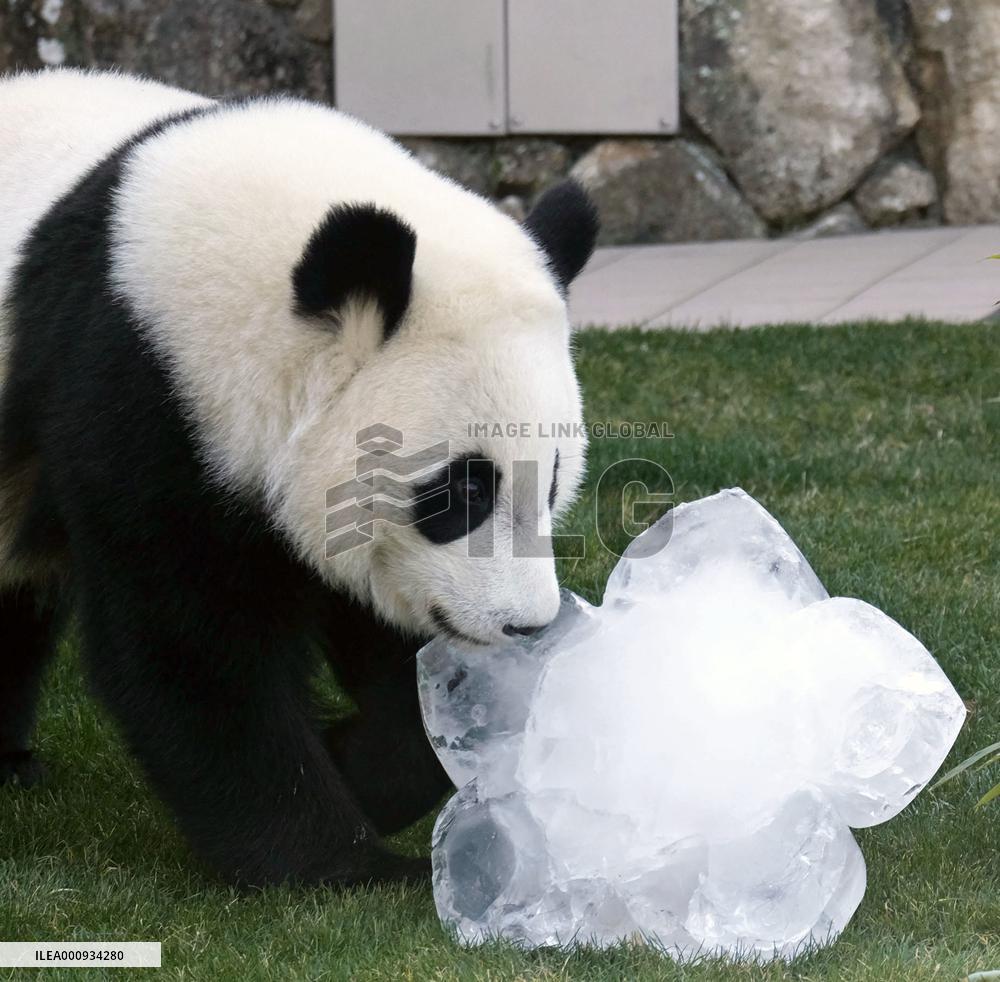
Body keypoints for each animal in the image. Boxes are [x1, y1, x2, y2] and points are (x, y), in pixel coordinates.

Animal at [0, 70, 597, 887]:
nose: (525, 626)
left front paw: (360, 768)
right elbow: (190, 648)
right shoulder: (140, 391)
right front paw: (337, 862)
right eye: (461, 492)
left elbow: (392, 647)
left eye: (553, 482)